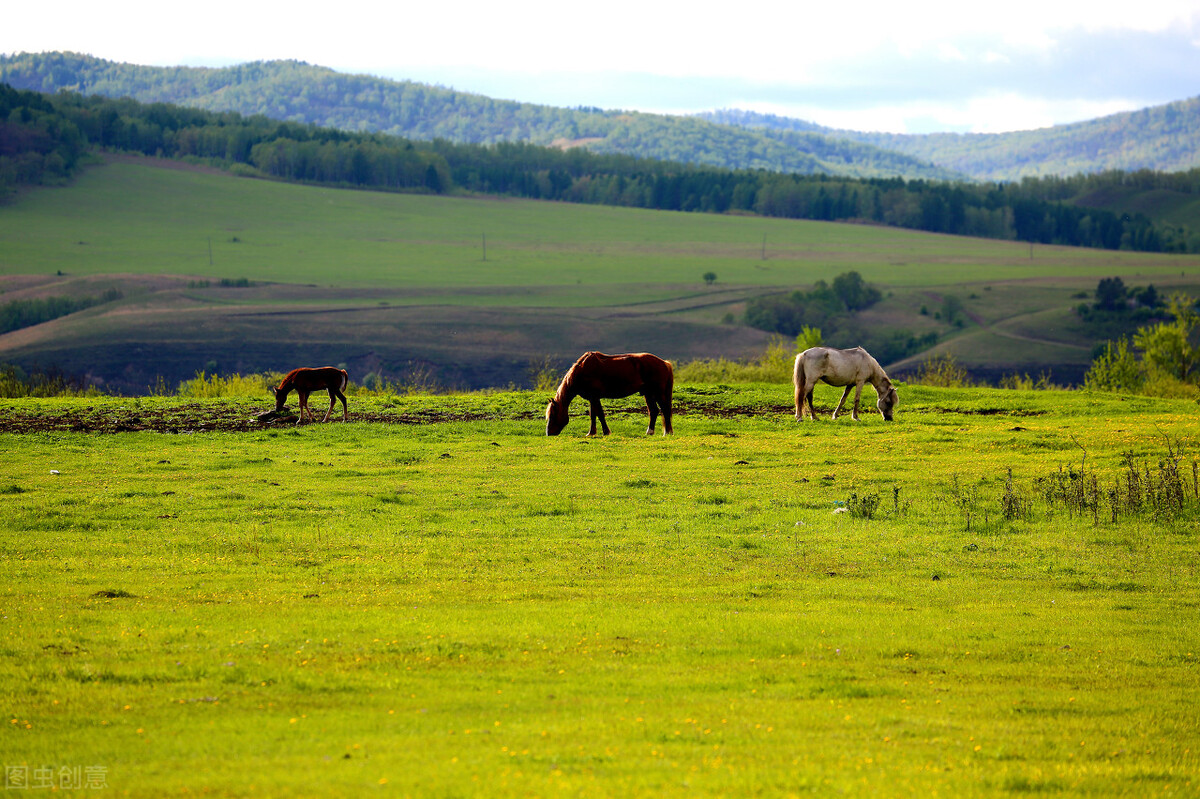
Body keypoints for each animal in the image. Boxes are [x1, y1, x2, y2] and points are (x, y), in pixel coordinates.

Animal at [547, 350, 676, 436]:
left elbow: (598, 414)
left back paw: (667, 432)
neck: (581, 372)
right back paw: (650, 432)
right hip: (648, 394)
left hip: (658, 393)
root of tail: (664, 363)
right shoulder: (592, 398)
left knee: (665, 409)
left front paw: (602, 432)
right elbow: (595, 414)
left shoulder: (594, 397)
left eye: (552, 414)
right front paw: (593, 432)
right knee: (654, 411)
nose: (549, 433)